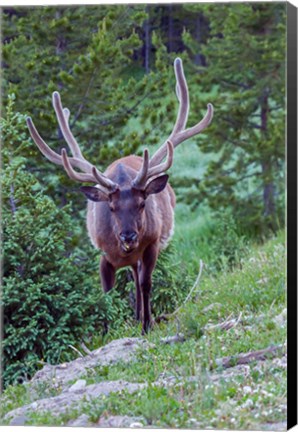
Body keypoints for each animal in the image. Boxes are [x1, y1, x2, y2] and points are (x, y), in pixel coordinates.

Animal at [25, 57, 212, 334]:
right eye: (111, 208)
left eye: (142, 203)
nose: (128, 236)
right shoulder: (103, 255)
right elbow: (107, 294)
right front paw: (108, 329)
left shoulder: (152, 245)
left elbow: (146, 284)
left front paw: (147, 325)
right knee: (132, 276)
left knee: (138, 280)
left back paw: (140, 317)